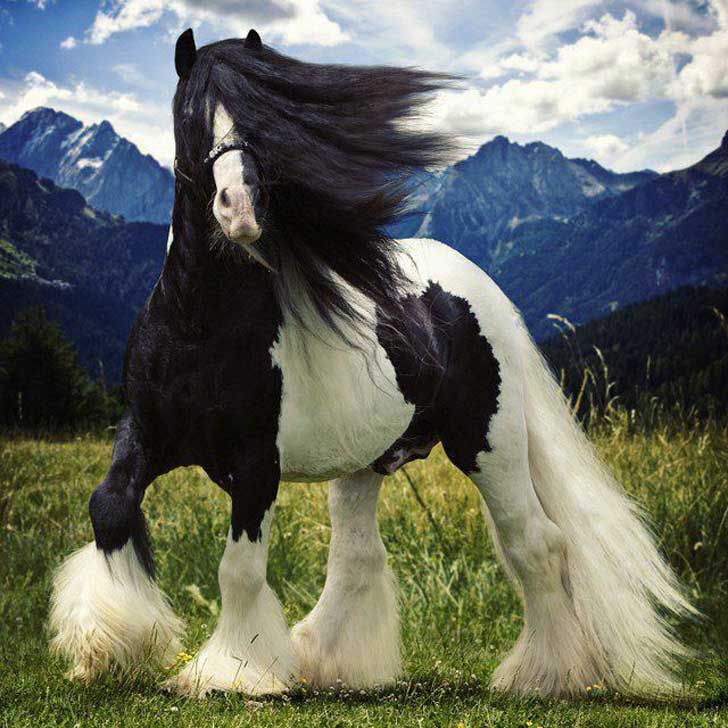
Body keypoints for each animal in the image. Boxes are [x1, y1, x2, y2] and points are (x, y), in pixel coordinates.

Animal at [49, 28, 695, 699]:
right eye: (191, 118)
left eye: (270, 121)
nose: (239, 209)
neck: (199, 327)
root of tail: (475, 287)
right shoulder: (144, 433)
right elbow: (109, 507)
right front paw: (104, 648)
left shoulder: (256, 466)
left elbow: (239, 570)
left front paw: (233, 673)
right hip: (363, 462)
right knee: (359, 558)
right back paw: (327, 660)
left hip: (488, 443)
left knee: (535, 544)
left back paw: (546, 675)